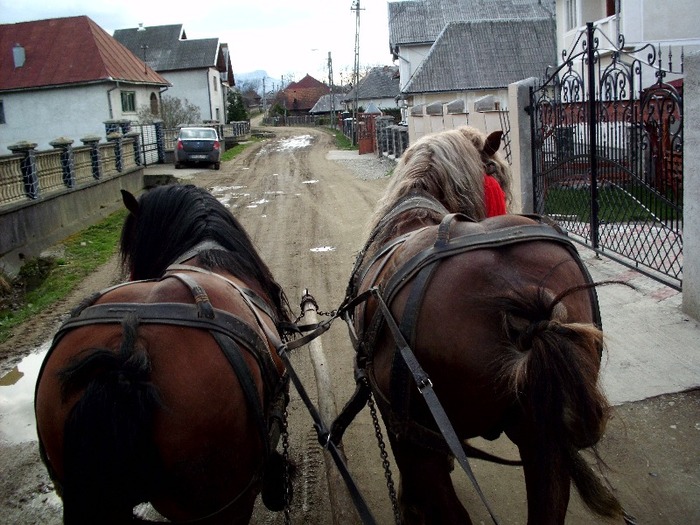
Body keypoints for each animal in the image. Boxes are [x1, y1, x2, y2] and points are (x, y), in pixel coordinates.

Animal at [348, 127, 628, 524]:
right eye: (496, 171)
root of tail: (520, 291)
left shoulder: (401, 427)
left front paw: (408, 504)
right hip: (543, 441)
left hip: (420, 440)